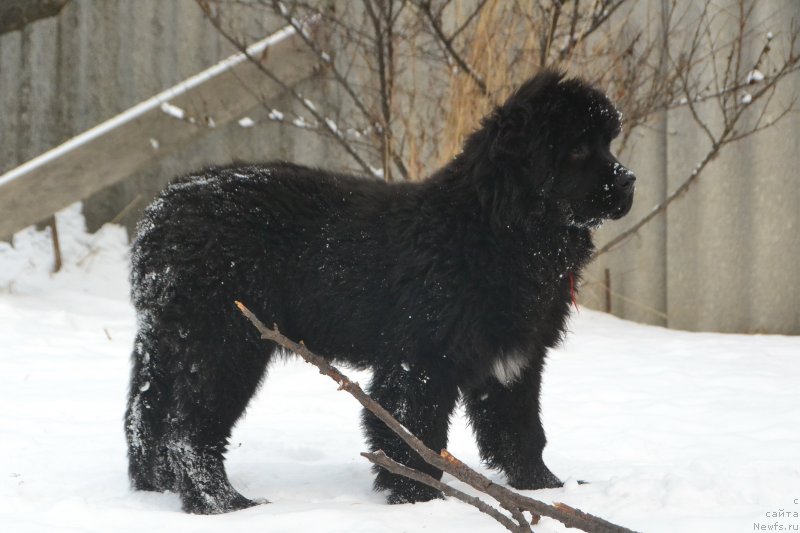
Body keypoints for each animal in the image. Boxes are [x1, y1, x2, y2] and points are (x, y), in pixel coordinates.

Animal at [125, 69, 636, 512]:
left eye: (606, 144)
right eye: (577, 149)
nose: (630, 180)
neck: (494, 229)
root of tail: (162, 214)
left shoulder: (515, 360)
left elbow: (521, 429)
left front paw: (548, 490)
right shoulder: (421, 358)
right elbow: (414, 434)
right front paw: (419, 500)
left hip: (169, 341)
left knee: (144, 418)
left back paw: (155, 491)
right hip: (225, 341)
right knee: (188, 431)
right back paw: (225, 505)